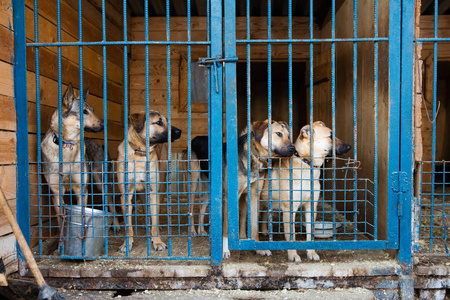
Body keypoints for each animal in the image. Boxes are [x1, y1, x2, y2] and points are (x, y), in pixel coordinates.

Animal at [116, 111, 183, 252]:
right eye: (158, 122)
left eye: (167, 120)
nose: (180, 131)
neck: (141, 152)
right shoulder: (125, 195)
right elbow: (128, 225)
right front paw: (127, 243)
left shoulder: (153, 192)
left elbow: (155, 221)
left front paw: (157, 241)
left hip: (160, 189)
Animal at [189, 119, 298, 258]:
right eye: (278, 134)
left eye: (289, 136)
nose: (293, 149)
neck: (254, 156)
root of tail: (196, 137)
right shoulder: (229, 196)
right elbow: (226, 228)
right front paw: (225, 250)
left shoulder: (253, 195)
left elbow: (254, 226)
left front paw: (259, 248)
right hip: (193, 182)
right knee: (191, 207)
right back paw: (192, 231)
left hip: (210, 189)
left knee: (201, 209)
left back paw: (201, 230)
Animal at [260, 122, 352, 262]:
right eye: (330, 136)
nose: (349, 146)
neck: (307, 164)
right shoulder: (289, 208)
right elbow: (291, 234)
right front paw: (293, 255)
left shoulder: (311, 206)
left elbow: (310, 232)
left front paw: (311, 252)